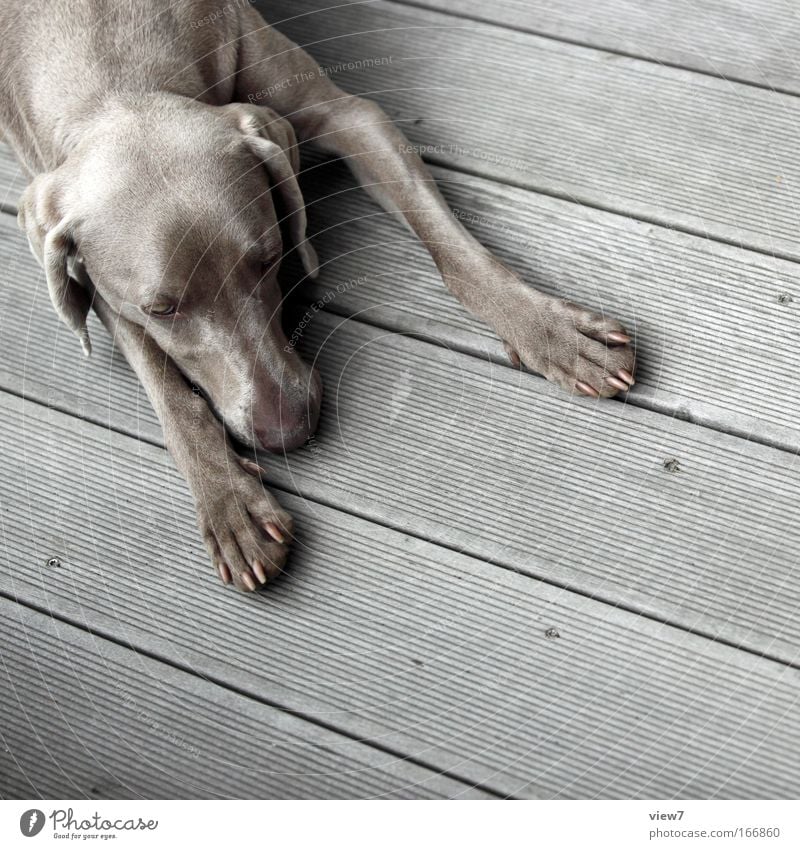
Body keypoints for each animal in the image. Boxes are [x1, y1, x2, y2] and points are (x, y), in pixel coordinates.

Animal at [0, 0, 636, 592]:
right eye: (161, 308)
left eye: (269, 257)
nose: (290, 431)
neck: (111, 62)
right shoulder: (87, 267)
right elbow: (164, 386)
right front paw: (228, 501)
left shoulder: (351, 114)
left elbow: (454, 246)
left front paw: (552, 331)